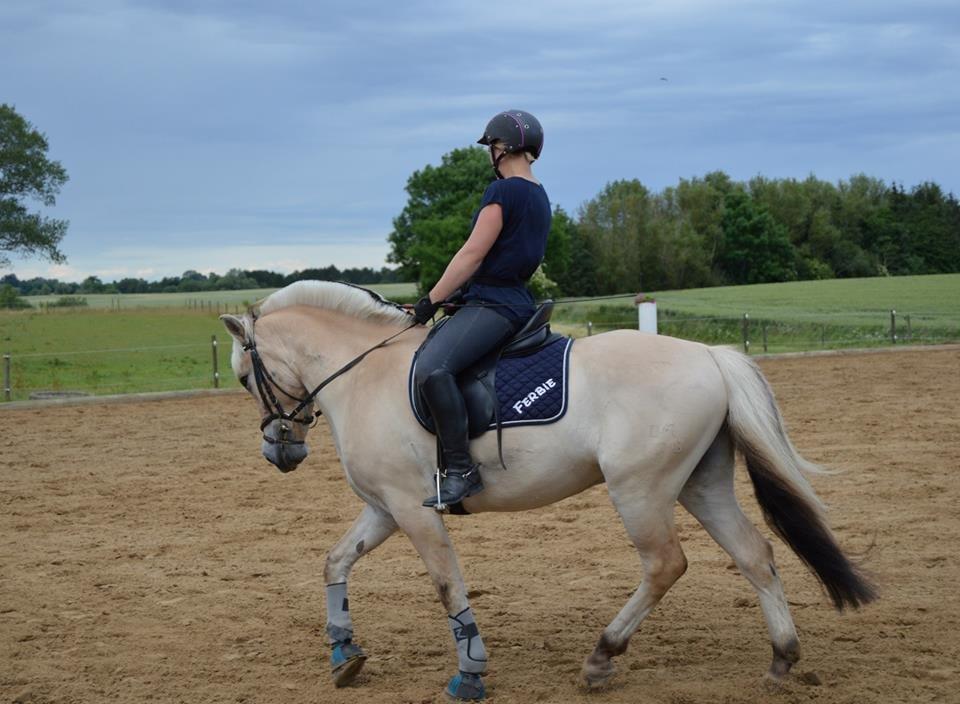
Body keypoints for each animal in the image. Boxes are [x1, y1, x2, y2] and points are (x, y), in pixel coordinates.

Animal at [219, 280, 876, 700]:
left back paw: (602, 657)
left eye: (247, 377)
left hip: (640, 489)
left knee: (666, 564)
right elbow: (335, 562)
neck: (362, 374)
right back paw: (781, 661)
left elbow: (446, 584)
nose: (280, 452)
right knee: (755, 556)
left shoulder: (413, 508)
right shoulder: (384, 508)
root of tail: (710, 356)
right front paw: (343, 654)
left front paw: (470, 674)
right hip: (700, 484)